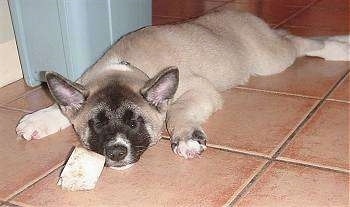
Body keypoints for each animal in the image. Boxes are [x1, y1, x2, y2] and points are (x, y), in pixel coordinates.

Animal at [15, 4, 348, 169]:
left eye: (135, 123)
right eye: (96, 125)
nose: (117, 153)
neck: (124, 64)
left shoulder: (199, 90)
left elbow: (177, 112)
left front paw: (186, 138)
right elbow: (61, 107)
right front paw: (38, 120)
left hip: (270, 59)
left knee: (297, 42)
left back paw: (339, 48)